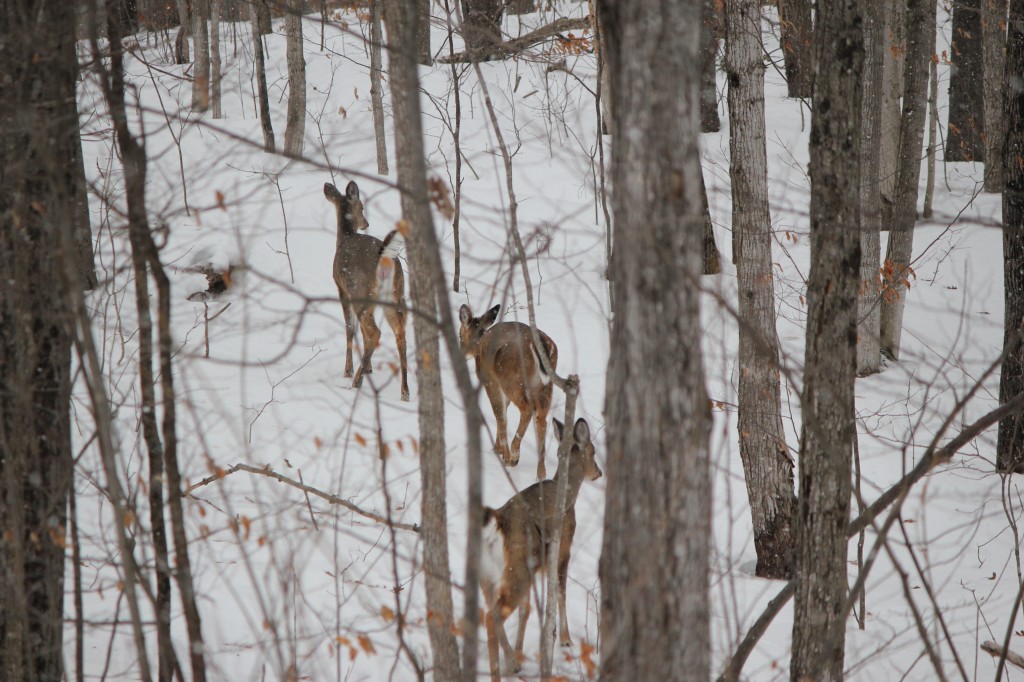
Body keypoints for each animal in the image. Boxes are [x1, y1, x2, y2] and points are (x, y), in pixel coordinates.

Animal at [325, 182, 409, 403]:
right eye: (362, 208)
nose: (366, 223)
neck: (344, 238)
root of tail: (384, 258)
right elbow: (360, 332)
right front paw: (369, 367)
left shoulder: (341, 288)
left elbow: (350, 328)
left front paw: (348, 370)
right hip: (395, 294)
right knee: (399, 333)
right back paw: (405, 392)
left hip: (361, 291)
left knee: (374, 332)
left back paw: (356, 380)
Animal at [460, 303, 561, 477]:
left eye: (460, 335)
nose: (460, 354)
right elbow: (503, 413)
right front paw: (497, 449)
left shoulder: (490, 381)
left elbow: (500, 415)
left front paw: (502, 453)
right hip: (545, 386)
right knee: (541, 417)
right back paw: (541, 473)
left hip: (511, 380)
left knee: (527, 409)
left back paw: (514, 456)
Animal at [477, 417, 598, 675]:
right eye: (593, 451)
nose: (599, 472)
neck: (568, 495)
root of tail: (498, 522)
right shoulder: (563, 549)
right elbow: (560, 592)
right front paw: (565, 639)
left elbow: (527, 610)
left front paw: (519, 653)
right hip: (518, 569)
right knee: (493, 616)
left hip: (488, 574)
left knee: (490, 611)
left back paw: (511, 661)